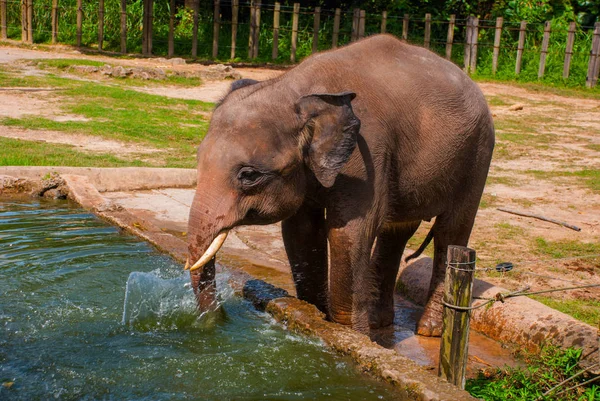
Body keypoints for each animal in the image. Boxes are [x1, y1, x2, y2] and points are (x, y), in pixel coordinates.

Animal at [185, 33, 494, 334]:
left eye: (248, 175)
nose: (216, 320)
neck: (296, 92)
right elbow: (301, 230)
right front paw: (316, 316)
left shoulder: (367, 153)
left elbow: (348, 232)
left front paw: (351, 333)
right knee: (397, 231)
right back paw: (380, 323)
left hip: (478, 155)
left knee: (451, 232)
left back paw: (427, 330)